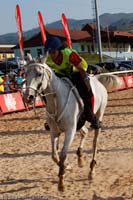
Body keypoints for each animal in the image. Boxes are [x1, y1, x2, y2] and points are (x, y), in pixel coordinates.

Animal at [23, 54, 119, 191]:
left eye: (39, 73)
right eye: (26, 73)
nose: (28, 97)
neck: (57, 101)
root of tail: (97, 79)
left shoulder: (70, 131)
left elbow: (63, 154)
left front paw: (61, 182)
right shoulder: (54, 131)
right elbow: (54, 155)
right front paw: (66, 166)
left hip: (99, 115)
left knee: (95, 142)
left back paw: (91, 170)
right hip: (80, 123)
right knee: (84, 132)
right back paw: (80, 157)